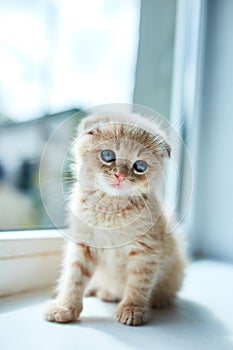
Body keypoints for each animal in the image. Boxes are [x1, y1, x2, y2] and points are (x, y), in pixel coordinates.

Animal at [44, 111, 187, 326]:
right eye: (108, 155)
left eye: (140, 166)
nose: (120, 176)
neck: (110, 208)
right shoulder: (83, 244)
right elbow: (74, 277)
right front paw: (65, 307)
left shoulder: (146, 249)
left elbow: (139, 282)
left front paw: (132, 309)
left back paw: (157, 299)